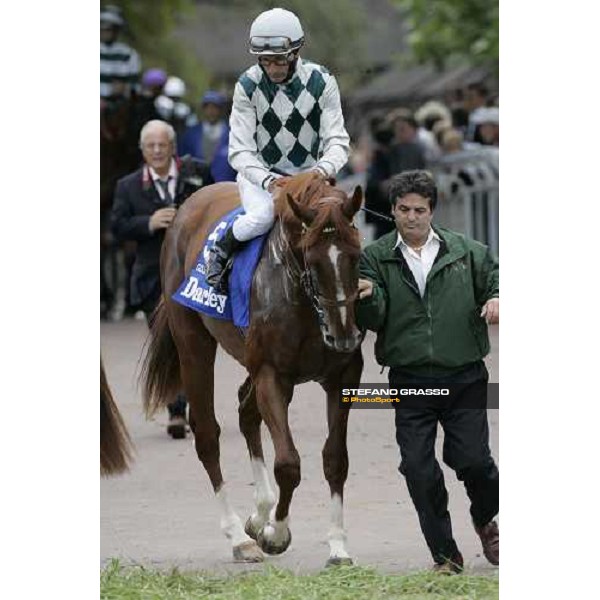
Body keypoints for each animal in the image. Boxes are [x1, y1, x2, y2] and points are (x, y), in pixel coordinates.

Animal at [142, 172, 364, 564]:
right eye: (312, 259)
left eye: (355, 254)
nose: (343, 337)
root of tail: (190, 203)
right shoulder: (272, 375)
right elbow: (288, 463)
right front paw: (277, 533)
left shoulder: (342, 377)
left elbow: (336, 459)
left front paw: (337, 545)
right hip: (193, 342)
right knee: (207, 435)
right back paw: (237, 536)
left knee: (246, 413)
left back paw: (259, 514)